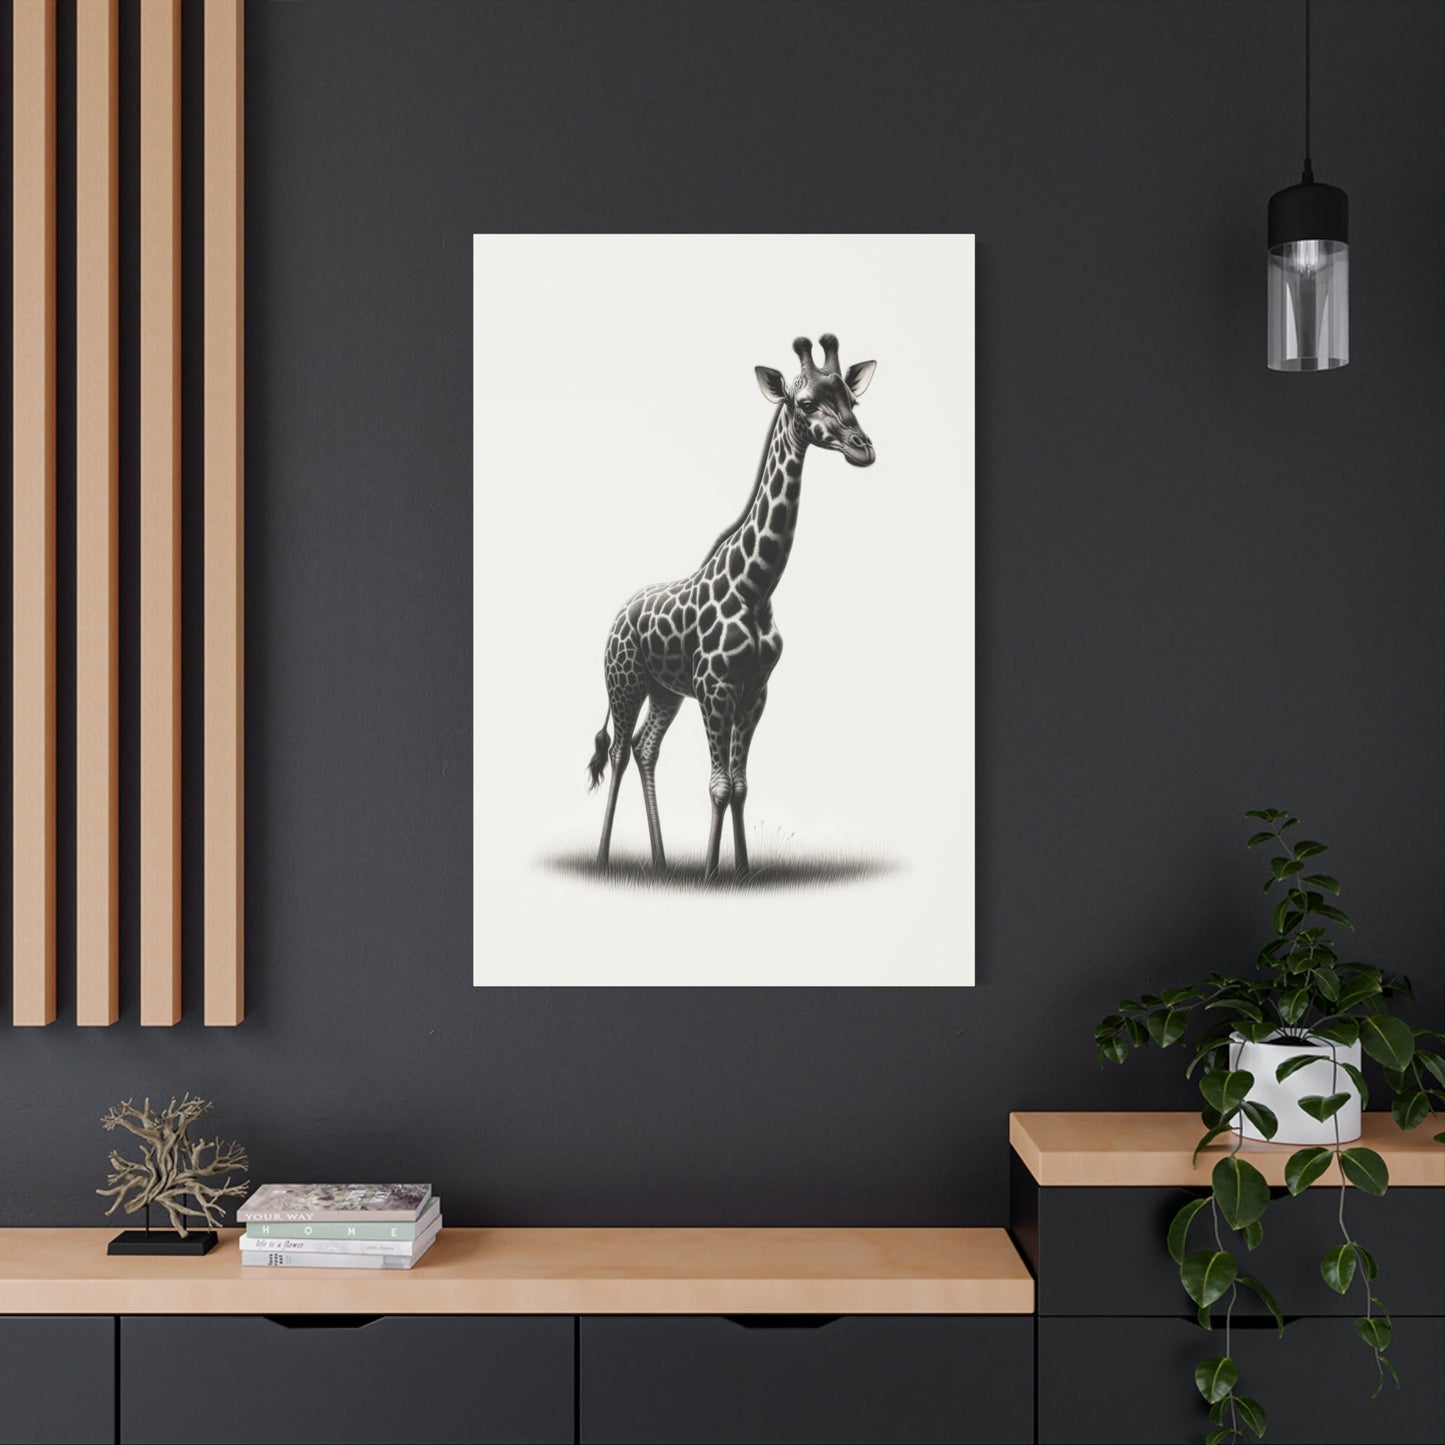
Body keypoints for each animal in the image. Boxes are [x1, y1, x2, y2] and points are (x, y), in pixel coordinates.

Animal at [586, 333, 877, 880]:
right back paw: (602, 859)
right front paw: (709, 876)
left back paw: (660, 864)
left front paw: (740, 873)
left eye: (854, 398)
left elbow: (739, 785)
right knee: (616, 752)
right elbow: (719, 785)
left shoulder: (754, 692)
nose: (862, 448)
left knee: (645, 747)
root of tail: (617, 618)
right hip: (625, 682)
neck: (756, 588)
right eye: (806, 403)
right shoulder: (715, 687)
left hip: (665, 691)